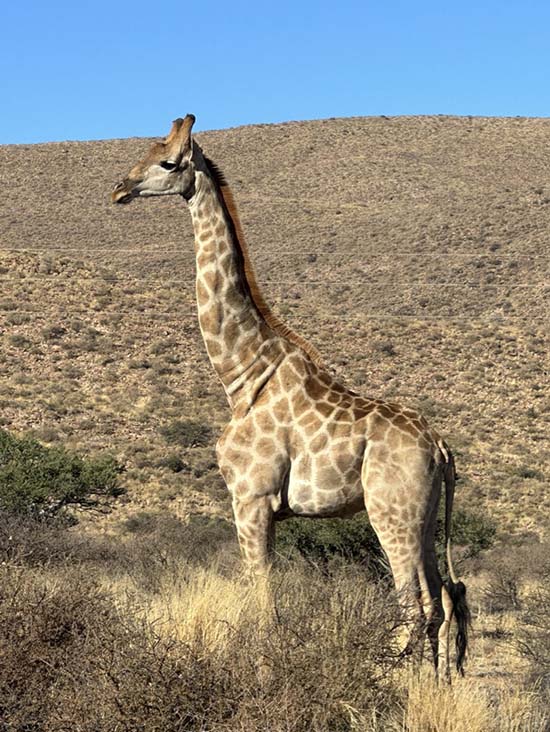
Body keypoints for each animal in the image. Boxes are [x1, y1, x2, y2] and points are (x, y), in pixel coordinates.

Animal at [111, 114, 470, 680]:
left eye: (168, 162)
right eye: (144, 152)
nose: (119, 189)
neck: (241, 373)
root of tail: (442, 448)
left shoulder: (250, 498)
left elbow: (263, 601)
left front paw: (264, 677)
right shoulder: (266, 508)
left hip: (391, 513)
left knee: (414, 605)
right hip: (427, 516)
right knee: (445, 600)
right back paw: (436, 688)